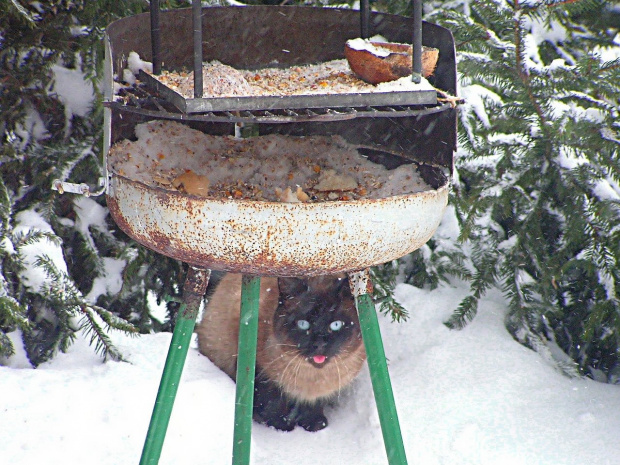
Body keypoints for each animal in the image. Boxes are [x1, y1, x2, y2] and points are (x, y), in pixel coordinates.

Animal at [196, 274, 366, 430]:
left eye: (336, 325)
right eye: (303, 324)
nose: (319, 344)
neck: (313, 377)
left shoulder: (320, 392)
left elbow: (313, 405)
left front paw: (315, 425)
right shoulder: (262, 372)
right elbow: (272, 402)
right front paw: (282, 426)